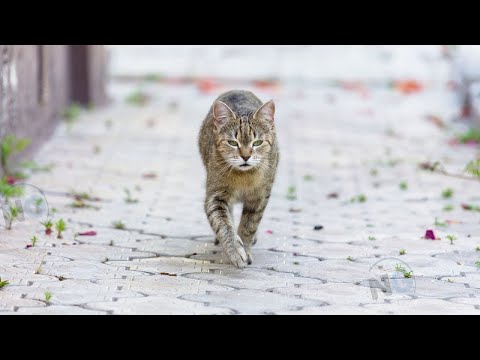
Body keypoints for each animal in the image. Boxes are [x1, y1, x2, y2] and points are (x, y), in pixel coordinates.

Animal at [197, 90, 278, 268]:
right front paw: (235, 250)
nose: (246, 156)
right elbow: (223, 225)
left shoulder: (259, 198)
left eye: (257, 142)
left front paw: (245, 249)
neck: (244, 177)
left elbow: (249, 225)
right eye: (233, 142)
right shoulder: (215, 196)